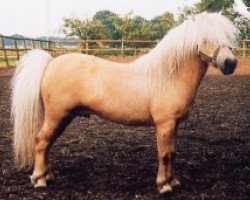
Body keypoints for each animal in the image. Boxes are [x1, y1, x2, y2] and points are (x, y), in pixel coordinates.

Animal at [11, 12, 238, 194]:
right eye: (206, 38)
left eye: (228, 37)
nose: (230, 63)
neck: (167, 77)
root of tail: (51, 63)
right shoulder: (164, 125)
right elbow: (164, 154)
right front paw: (164, 185)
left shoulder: (173, 126)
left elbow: (172, 153)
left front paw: (174, 181)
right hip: (57, 116)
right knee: (41, 141)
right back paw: (39, 180)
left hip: (63, 117)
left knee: (47, 144)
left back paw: (47, 175)